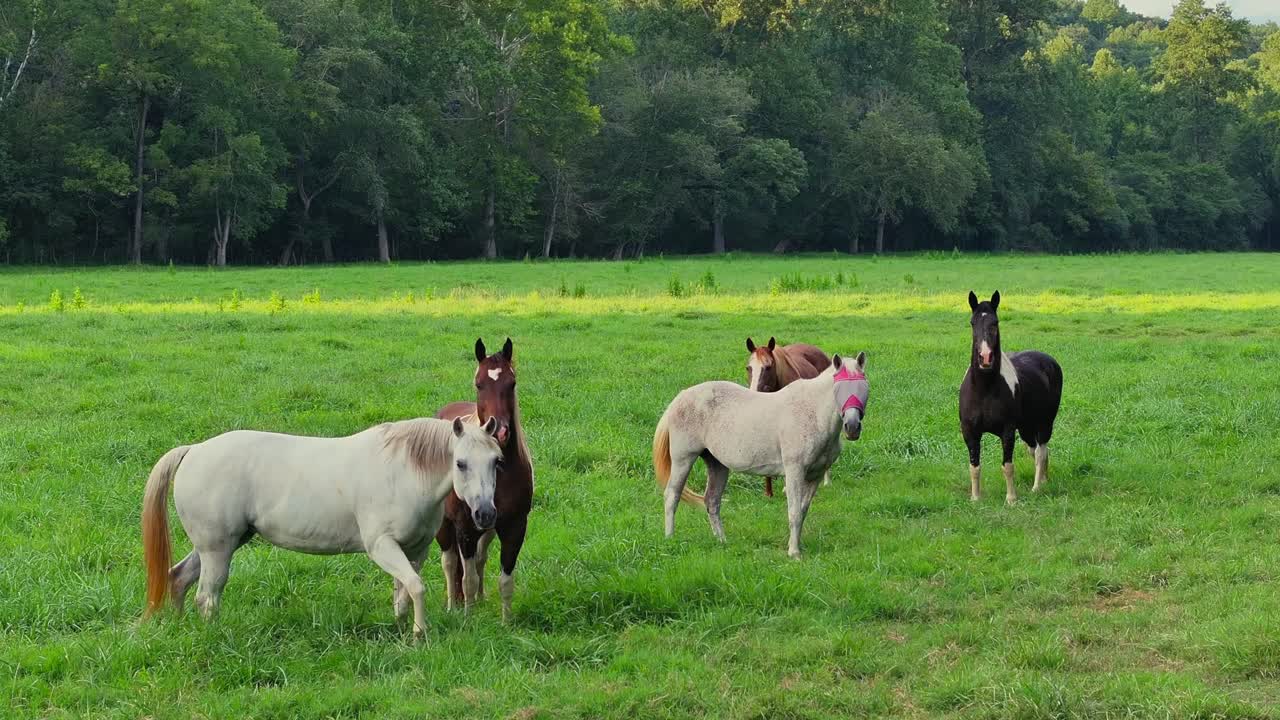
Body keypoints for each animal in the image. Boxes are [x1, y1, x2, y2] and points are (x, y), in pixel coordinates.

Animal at [141, 416, 504, 639]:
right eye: (461, 463)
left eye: (497, 461)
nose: (486, 514)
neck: (403, 471)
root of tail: (194, 451)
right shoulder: (382, 547)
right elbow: (416, 587)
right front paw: (419, 634)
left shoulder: (415, 550)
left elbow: (403, 592)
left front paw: (403, 629)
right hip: (217, 549)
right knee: (207, 597)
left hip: (219, 545)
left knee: (179, 579)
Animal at [435, 338, 534, 622]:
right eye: (479, 384)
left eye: (512, 383)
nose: (499, 431)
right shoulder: (465, 527)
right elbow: (465, 578)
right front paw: (467, 619)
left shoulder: (514, 527)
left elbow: (505, 580)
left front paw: (506, 622)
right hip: (446, 527)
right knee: (450, 564)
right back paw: (453, 605)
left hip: (487, 530)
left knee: (480, 558)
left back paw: (480, 598)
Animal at [959, 291, 1063, 504]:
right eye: (972, 323)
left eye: (995, 322)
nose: (985, 358)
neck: (984, 389)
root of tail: (1049, 361)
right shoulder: (970, 432)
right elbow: (974, 466)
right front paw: (975, 498)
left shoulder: (1007, 431)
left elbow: (1007, 466)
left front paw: (1011, 499)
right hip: (1026, 427)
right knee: (1036, 450)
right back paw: (1045, 480)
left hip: (1044, 423)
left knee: (1040, 452)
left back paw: (1037, 487)